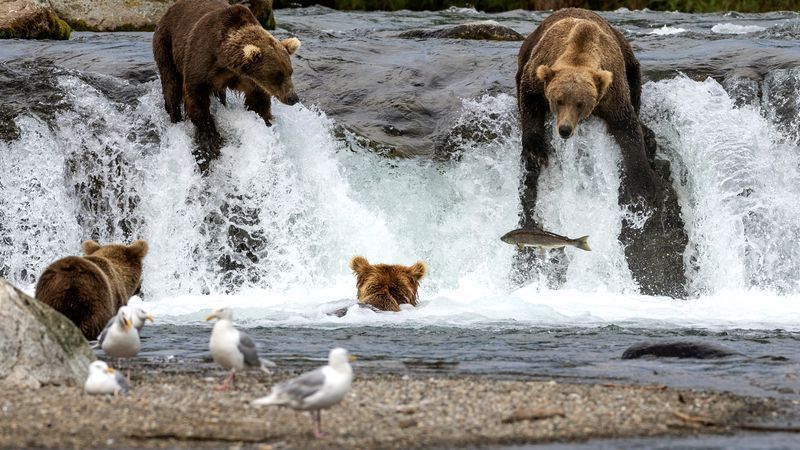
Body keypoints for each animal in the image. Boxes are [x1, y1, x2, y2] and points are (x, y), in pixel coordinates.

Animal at [152, 0, 301, 173]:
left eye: (290, 72)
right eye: (277, 75)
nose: (293, 98)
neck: (225, 61)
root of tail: (168, 10)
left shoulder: (248, 80)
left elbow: (258, 102)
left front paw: (266, 122)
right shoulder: (201, 62)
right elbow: (196, 99)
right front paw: (211, 141)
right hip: (166, 45)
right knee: (171, 84)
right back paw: (175, 118)